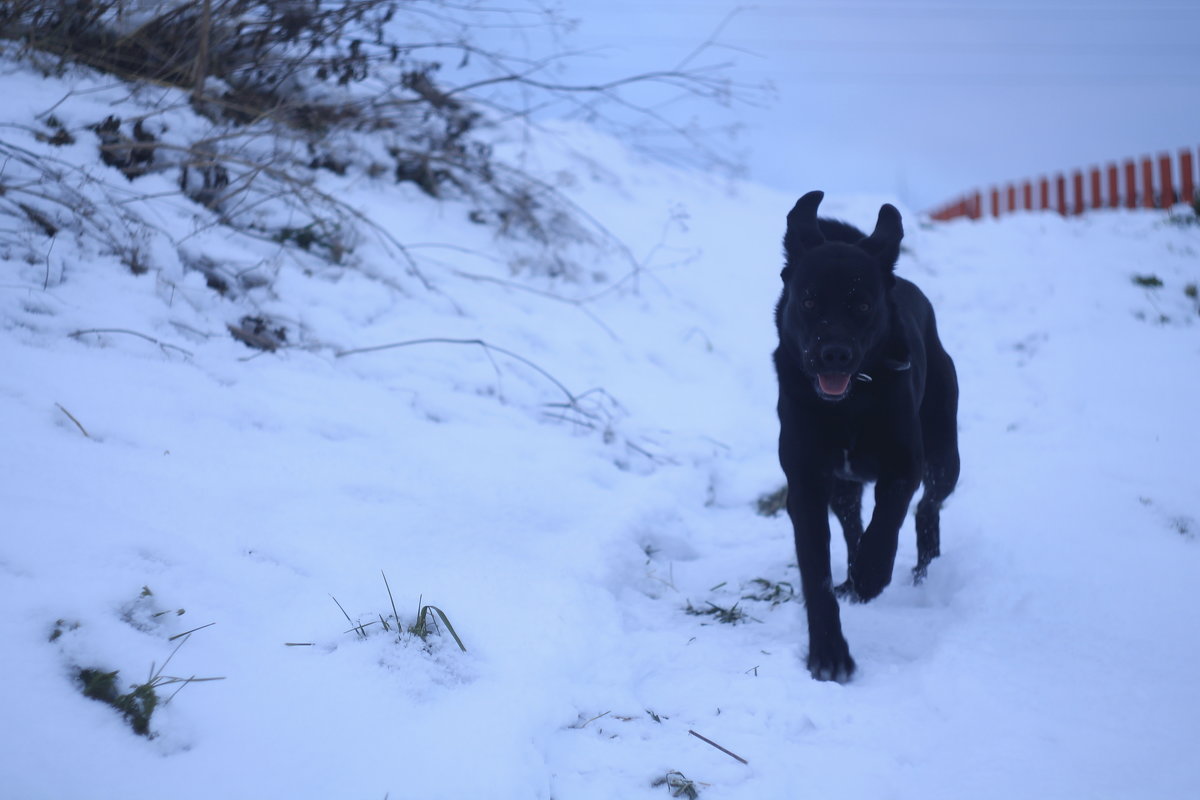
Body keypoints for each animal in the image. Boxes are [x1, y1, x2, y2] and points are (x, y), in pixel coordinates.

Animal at [772, 189, 960, 681]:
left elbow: (889, 518)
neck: (848, 407)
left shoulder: (904, 463)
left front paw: (874, 573)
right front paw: (829, 653)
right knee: (853, 522)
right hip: (843, 485)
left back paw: (918, 562)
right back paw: (853, 578)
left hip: (944, 454)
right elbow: (816, 569)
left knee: (928, 506)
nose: (834, 354)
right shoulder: (806, 483)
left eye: (861, 305)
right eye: (809, 301)